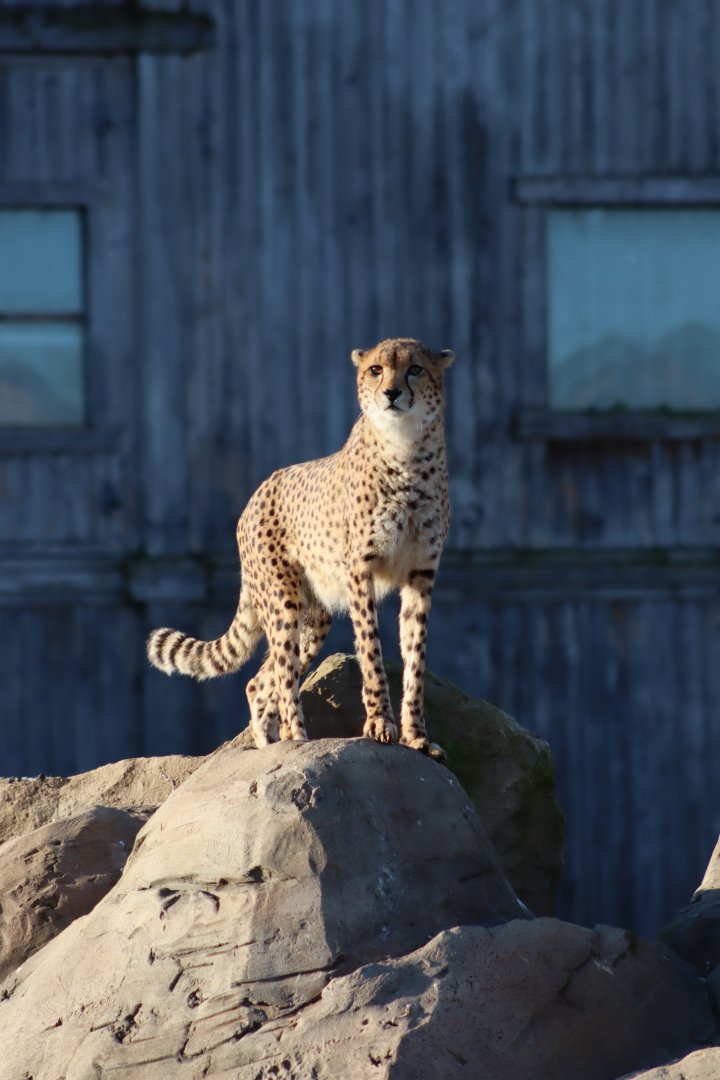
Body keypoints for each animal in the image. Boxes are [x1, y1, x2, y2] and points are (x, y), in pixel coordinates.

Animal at [147, 337, 455, 759]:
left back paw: (268, 744)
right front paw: (380, 724)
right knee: (281, 672)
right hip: (283, 598)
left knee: (260, 681)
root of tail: (257, 493)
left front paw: (417, 736)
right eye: (376, 370)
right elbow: (371, 650)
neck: (405, 446)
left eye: (415, 370)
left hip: (315, 616)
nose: (391, 393)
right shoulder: (360, 570)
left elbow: (415, 658)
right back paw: (296, 738)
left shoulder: (420, 572)